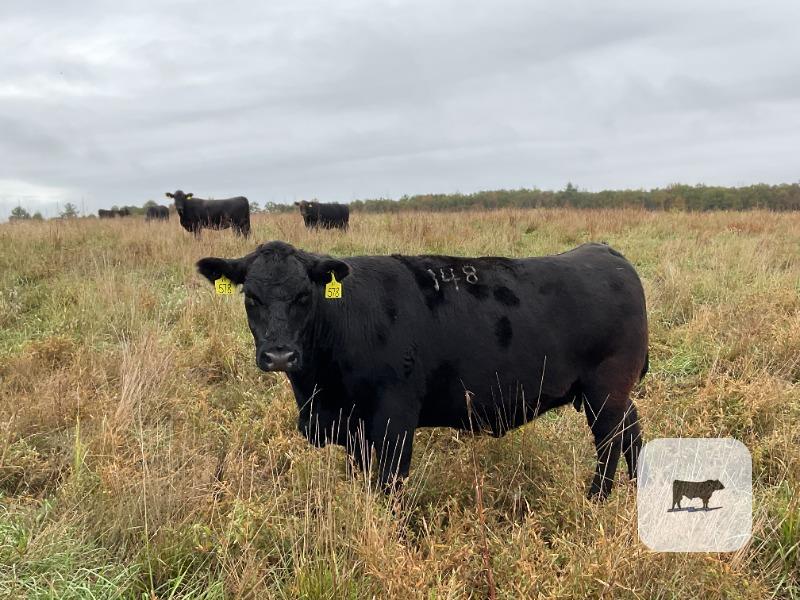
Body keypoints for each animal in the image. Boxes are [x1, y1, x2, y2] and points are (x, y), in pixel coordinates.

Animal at [196, 241, 648, 499]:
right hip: (611, 394)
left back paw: (597, 499)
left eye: (304, 296)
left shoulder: (394, 417)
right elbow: (364, 480)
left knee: (610, 442)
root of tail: (606, 253)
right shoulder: (352, 427)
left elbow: (390, 486)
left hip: (605, 389)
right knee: (632, 431)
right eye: (251, 297)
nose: (279, 356)